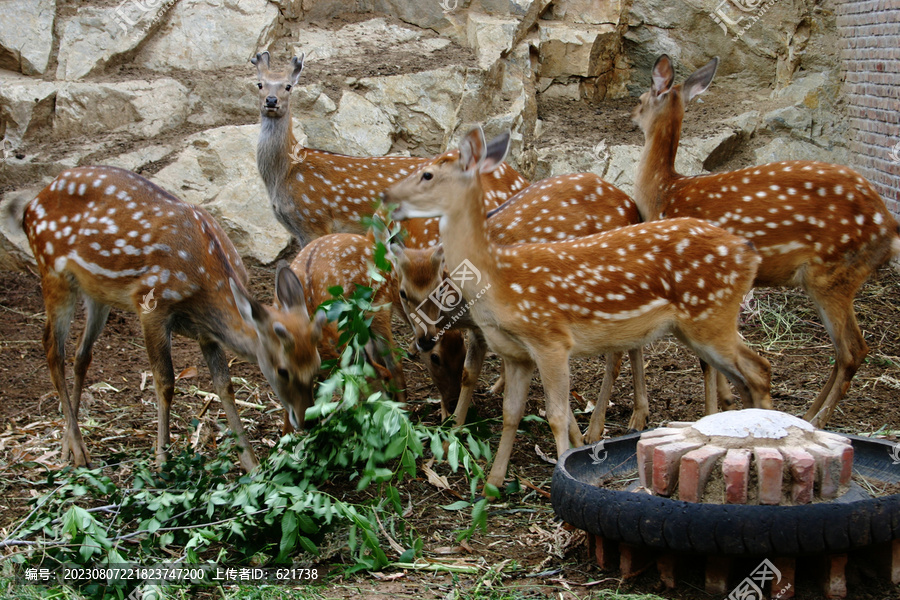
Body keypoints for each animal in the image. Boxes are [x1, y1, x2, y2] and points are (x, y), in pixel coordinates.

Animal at [9, 166, 326, 472]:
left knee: (81, 354)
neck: (203, 285)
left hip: (96, 292)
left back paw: (67, 447)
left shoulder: (205, 332)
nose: (307, 419)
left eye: (316, 365)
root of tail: (30, 206)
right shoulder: (151, 305)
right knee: (52, 348)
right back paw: (79, 450)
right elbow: (165, 381)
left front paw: (250, 463)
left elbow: (224, 384)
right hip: (52, 272)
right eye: (283, 370)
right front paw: (162, 459)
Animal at [250, 50, 532, 248]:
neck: (285, 173)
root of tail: (521, 182)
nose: (271, 101)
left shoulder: (314, 220)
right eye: (259, 84)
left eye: (288, 86)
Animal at [390, 171, 656, 438]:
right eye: (403, 292)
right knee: (636, 343)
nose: (424, 340)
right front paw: (455, 430)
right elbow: (470, 373)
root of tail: (632, 206)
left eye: (440, 288)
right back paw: (638, 417)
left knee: (615, 359)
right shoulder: (480, 329)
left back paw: (595, 428)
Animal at [632, 52, 900, 426]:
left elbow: (705, 361)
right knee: (845, 350)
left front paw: (712, 410)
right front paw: (728, 401)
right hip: (828, 279)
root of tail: (890, 227)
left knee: (852, 350)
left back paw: (818, 420)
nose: (631, 116)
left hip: (833, 274)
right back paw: (807, 414)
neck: (663, 192)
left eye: (642, 99)